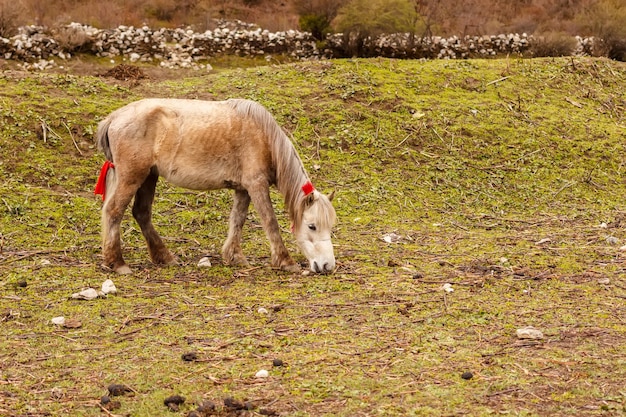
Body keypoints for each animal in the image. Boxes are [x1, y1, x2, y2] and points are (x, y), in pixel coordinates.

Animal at [93, 97, 336, 272]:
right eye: (312, 226)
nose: (327, 266)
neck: (263, 137)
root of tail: (114, 118)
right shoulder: (256, 185)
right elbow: (270, 221)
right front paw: (286, 262)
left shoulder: (243, 189)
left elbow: (238, 220)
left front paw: (234, 256)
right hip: (132, 177)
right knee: (114, 211)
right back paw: (118, 263)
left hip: (149, 178)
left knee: (141, 213)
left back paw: (164, 257)